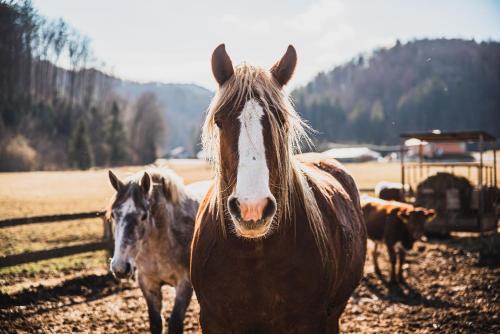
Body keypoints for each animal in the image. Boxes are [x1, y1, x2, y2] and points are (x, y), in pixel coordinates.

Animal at [107, 170, 209, 334]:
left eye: (144, 216)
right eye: (113, 215)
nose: (120, 268)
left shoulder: (185, 285)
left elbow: (175, 323)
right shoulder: (148, 283)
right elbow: (155, 323)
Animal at [189, 45, 366, 334]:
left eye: (280, 120)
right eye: (219, 121)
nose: (252, 208)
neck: (255, 257)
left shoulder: (312, 321)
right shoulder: (213, 321)